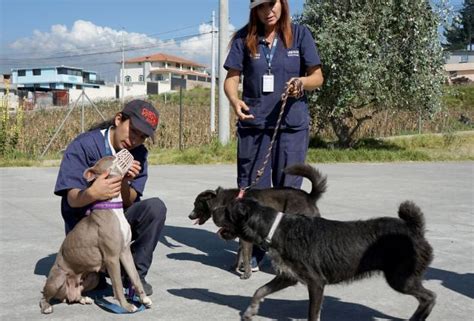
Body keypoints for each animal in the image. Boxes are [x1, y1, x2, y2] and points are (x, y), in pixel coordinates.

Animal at [40, 150, 153, 312]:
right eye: (111, 157)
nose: (126, 150)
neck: (112, 205)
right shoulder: (112, 257)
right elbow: (118, 285)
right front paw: (126, 306)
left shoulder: (125, 252)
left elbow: (135, 276)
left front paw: (144, 299)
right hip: (58, 279)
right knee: (44, 295)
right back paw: (47, 307)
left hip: (93, 276)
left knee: (74, 297)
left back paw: (83, 298)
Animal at [188, 164, 326, 278]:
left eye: (196, 204)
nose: (189, 216)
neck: (223, 201)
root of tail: (310, 197)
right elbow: (239, 254)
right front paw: (235, 267)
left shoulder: (245, 239)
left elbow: (245, 256)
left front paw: (246, 274)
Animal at [217, 198, 436, 320]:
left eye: (227, 211)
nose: (214, 211)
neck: (275, 228)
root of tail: (413, 228)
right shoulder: (288, 276)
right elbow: (259, 291)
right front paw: (250, 311)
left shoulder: (316, 283)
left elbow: (313, 314)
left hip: (401, 279)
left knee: (430, 297)